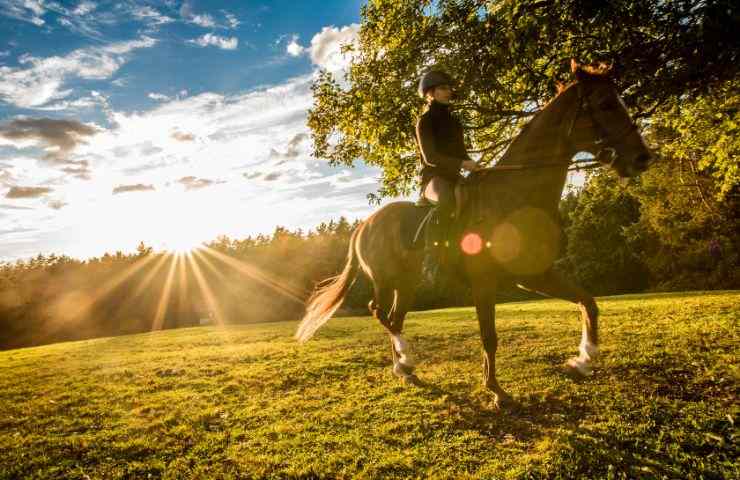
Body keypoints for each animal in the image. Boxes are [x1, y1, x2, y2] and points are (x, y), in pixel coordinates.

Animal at [294, 58, 652, 406]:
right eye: (605, 104)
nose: (642, 158)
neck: (515, 194)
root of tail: (364, 226)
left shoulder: (536, 275)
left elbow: (588, 303)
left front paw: (583, 361)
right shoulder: (484, 282)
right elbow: (489, 336)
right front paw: (496, 390)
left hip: (406, 284)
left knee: (394, 318)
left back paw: (404, 368)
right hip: (385, 279)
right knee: (378, 312)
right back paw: (407, 359)